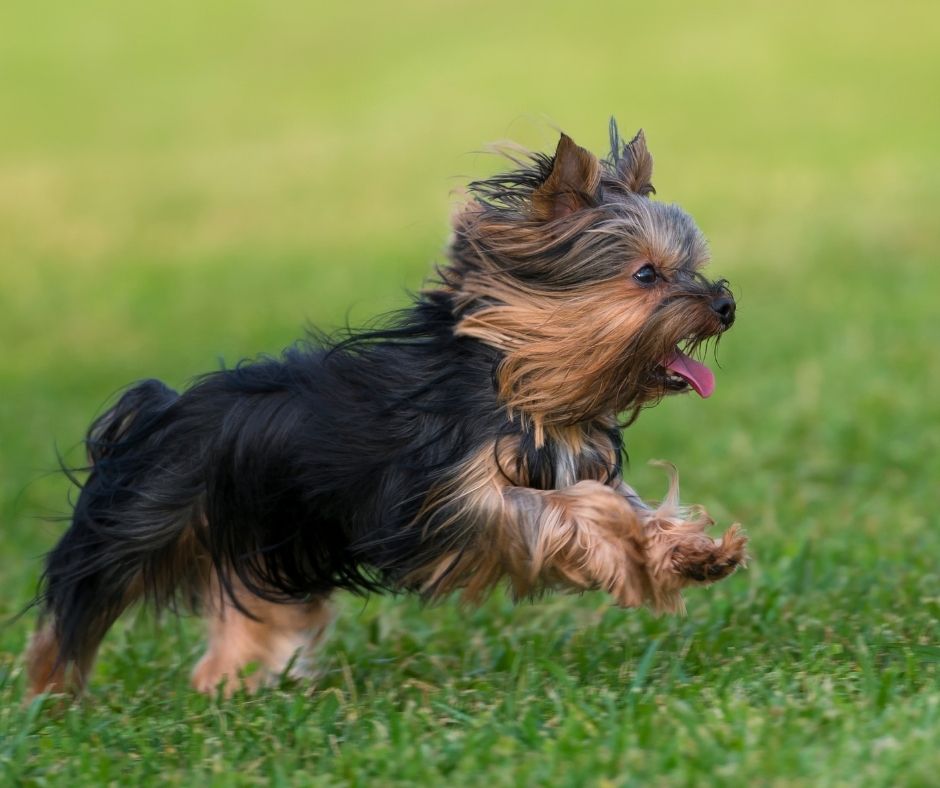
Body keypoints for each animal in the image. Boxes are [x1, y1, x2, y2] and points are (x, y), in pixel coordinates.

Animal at [25, 121, 748, 696]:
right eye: (646, 275)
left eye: (691, 266)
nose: (725, 304)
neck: (519, 379)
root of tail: (160, 411)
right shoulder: (452, 502)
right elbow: (565, 513)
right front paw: (628, 551)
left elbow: (630, 506)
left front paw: (690, 553)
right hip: (142, 520)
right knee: (78, 599)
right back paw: (51, 696)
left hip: (261, 544)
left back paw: (232, 684)